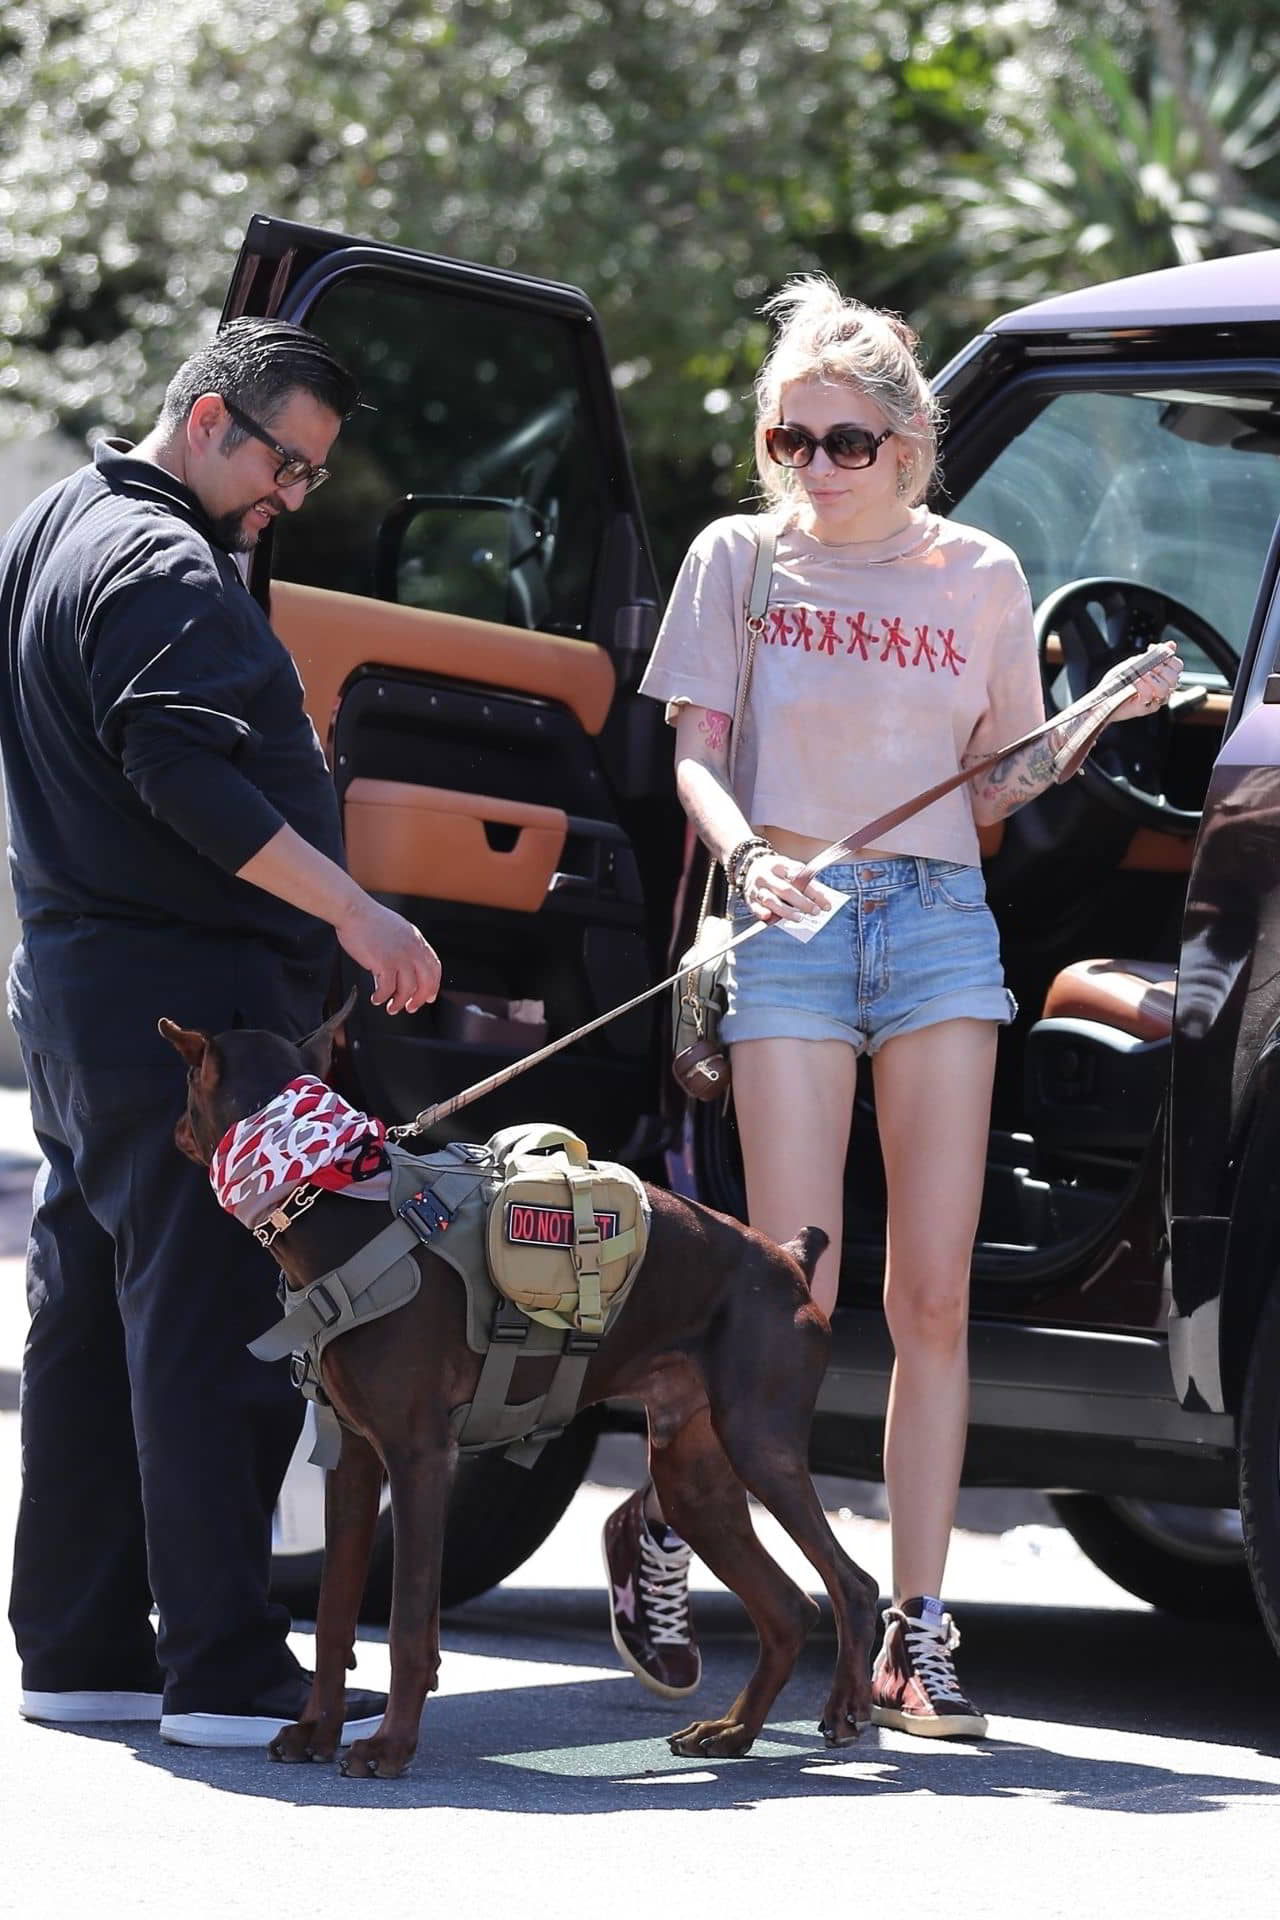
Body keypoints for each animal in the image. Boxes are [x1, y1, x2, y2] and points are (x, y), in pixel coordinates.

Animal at [163, 1013, 882, 1774]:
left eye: (184, 1083)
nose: (167, 1127)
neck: (330, 1200)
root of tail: (789, 1259)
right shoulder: (353, 1458)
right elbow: (333, 1618)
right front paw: (315, 1731)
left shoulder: (419, 1457)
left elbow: (409, 1623)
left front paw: (390, 1745)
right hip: (693, 1476)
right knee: (788, 1608)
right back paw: (733, 1730)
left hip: (758, 1440)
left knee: (852, 1585)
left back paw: (842, 1709)